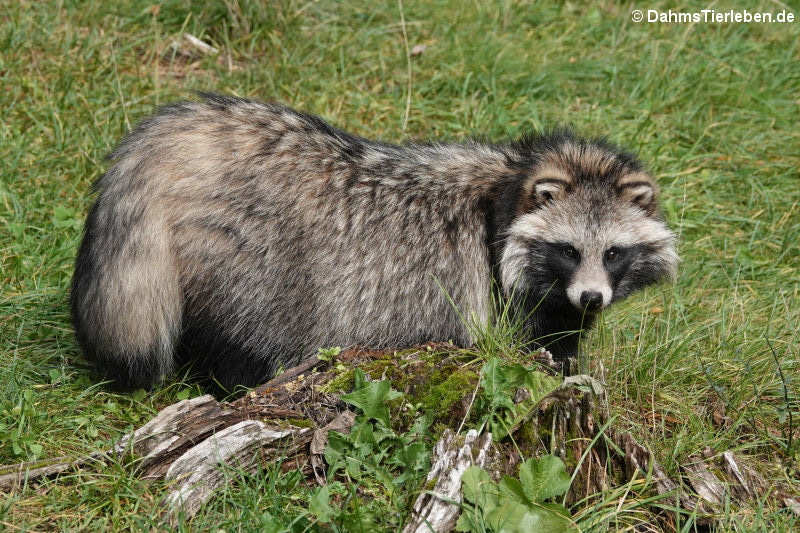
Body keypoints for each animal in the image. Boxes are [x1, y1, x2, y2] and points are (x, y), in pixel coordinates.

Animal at [72, 93, 680, 388]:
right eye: (568, 250)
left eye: (613, 253)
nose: (592, 297)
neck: (511, 185)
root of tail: (177, 142)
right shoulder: (502, 290)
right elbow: (527, 343)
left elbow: (561, 339)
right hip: (245, 254)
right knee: (242, 329)